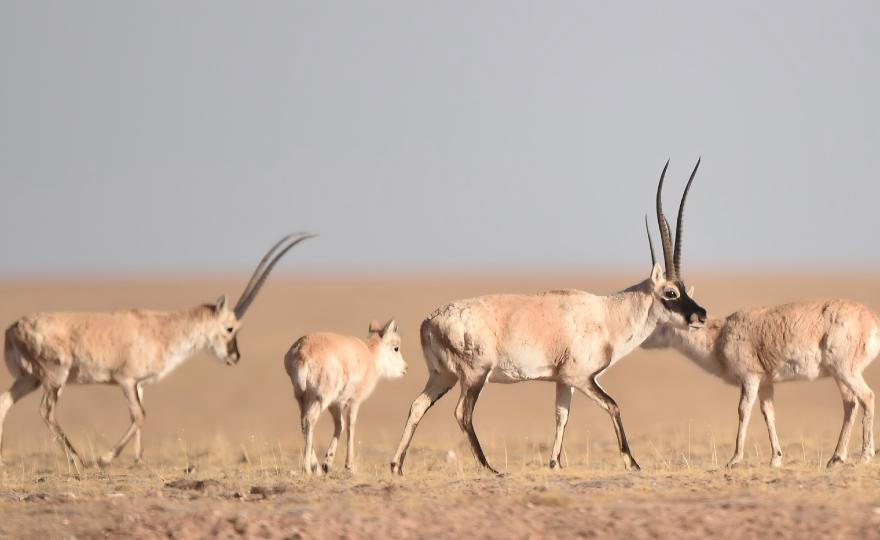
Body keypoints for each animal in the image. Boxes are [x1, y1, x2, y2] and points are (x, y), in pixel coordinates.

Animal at [0, 233, 314, 471]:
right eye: (229, 328)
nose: (234, 357)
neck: (164, 328)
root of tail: (14, 328)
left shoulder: (138, 384)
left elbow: (140, 415)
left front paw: (137, 459)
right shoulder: (125, 381)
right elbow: (140, 415)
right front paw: (105, 458)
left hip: (29, 379)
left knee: (5, 401)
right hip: (55, 377)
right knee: (46, 411)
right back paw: (78, 459)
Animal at [285, 319, 407, 475]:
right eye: (396, 348)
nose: (405, 368)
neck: (370, 355)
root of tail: (303, 351)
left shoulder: (335, 404)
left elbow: (340, 425)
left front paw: (327, 463)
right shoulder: (354, 402)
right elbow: (350, 426)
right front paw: (350, 466)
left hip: (303, 398)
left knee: (303, 422)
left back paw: (316, 467)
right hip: (321, 398)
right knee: (310, 419)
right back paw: (307, 468)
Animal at [390, 160, 709, 475]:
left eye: (683, 289)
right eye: (670, 292)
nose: (701, 315)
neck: (608, 315)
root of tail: (428, 322)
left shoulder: (563, 380)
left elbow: (561, 415)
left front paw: (555, 462)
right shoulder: (581, 377)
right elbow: (613, 405)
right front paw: (632, 461)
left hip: (441, 375)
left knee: (417, 406)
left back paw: (397, 466)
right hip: (474, 375)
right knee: (462, 413)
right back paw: (489, 468)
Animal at [642, 298, 879, 468]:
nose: (643, 340)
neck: (720, 333)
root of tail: (872, 319)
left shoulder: (750, 378)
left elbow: (743, 410)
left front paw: (735, 459)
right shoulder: (766, 383)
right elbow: (768, 413)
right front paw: (776, 458)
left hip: (845, 371)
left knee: (867, 397)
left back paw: (865, 456)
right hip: (839, 375)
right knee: (850, 403)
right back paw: (836, 458)